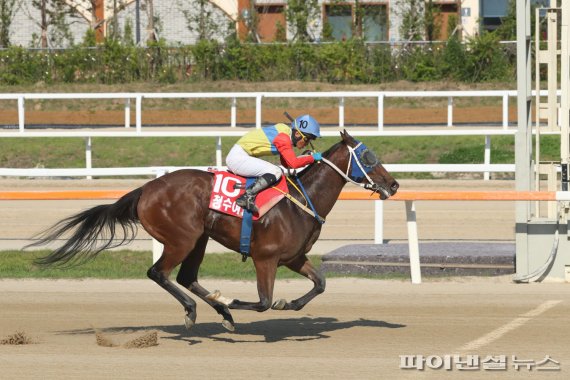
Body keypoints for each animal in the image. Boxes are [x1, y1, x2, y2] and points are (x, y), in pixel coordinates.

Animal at [28, 129, 398, 332]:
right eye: (368, 155)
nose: (394, 185)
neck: (299, 202)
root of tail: (146, 189)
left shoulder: (293, 257)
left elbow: (319, 284)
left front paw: (289, 304)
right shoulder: (265, 258)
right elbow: (262, 302)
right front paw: (231, 299)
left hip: (199, 239)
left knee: (185, 277)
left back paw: (218, 312)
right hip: (182, 238)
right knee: (159, 273)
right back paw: (197, 310)